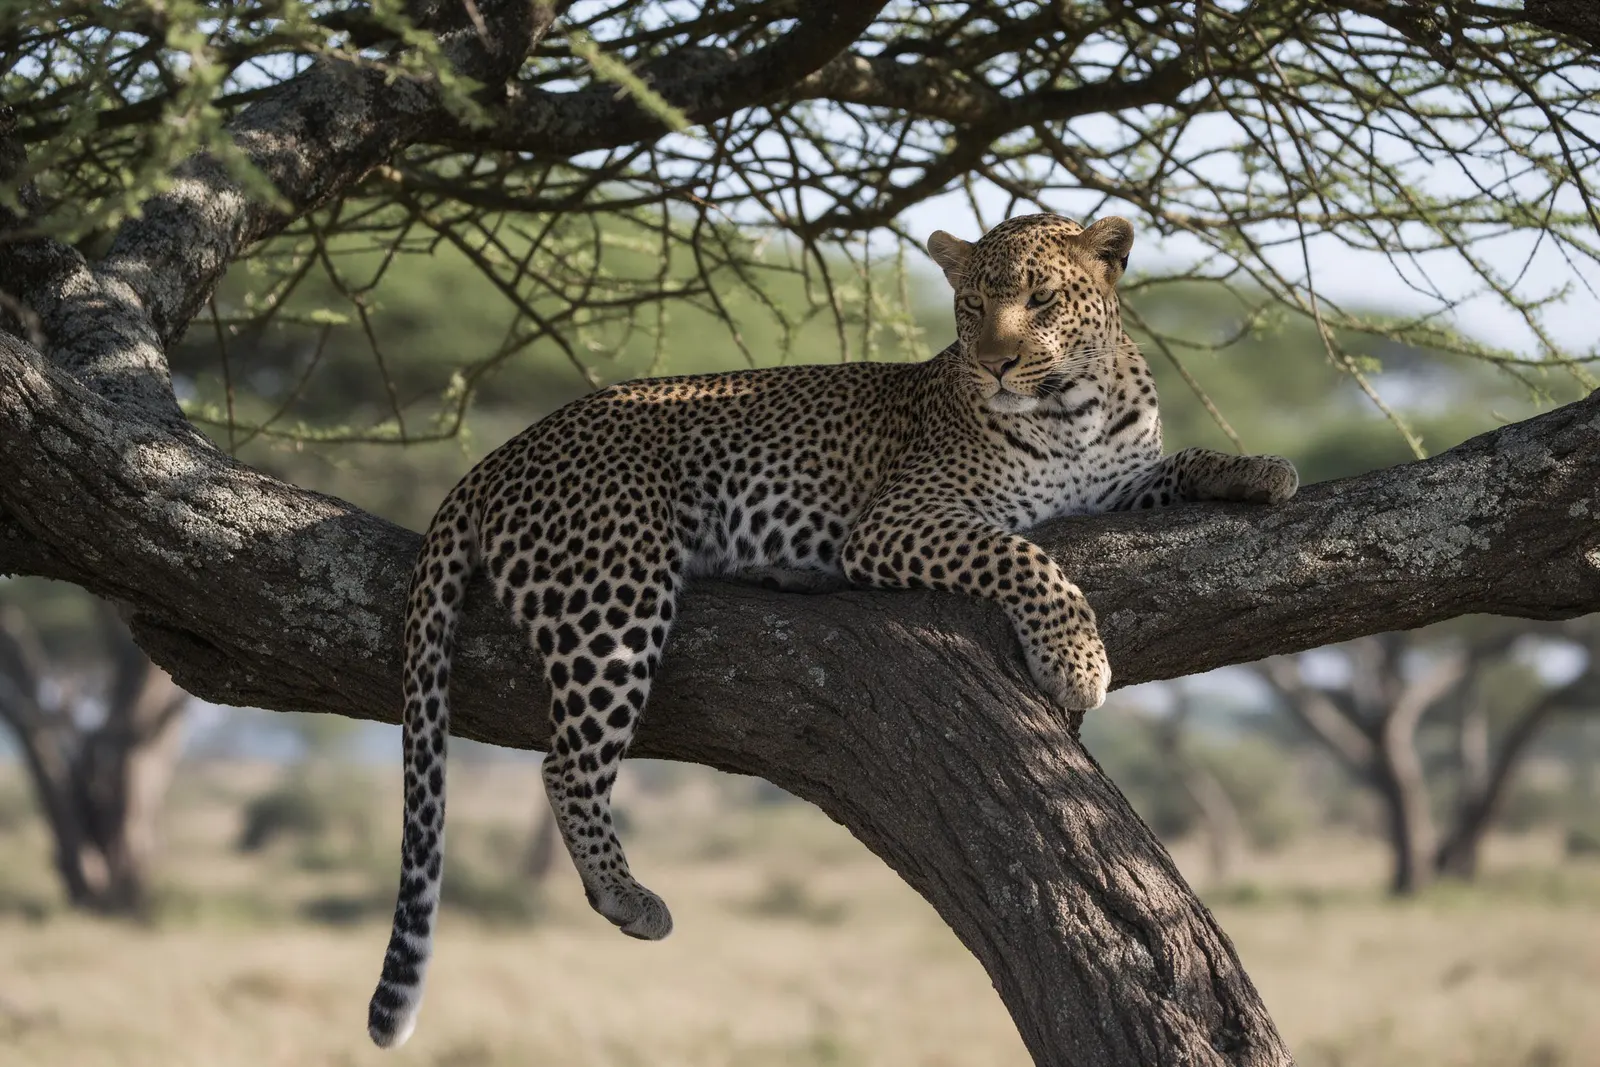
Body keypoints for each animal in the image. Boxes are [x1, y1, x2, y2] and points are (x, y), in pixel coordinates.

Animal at [366, 212, 1298, 1048]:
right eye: (971, 304)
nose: (993, 362)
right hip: (613, 594)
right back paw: (626, 895)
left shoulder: (1116, 484)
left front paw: (1260, 468)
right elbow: (1022, 554)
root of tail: (505, 451)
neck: (1076, 404)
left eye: (1039, 298)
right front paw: (1074, 658)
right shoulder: (901, 520)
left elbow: (1178, 463)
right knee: (566, 763)